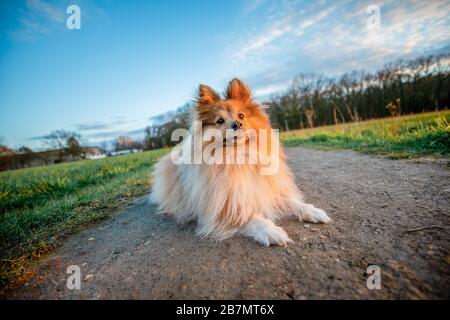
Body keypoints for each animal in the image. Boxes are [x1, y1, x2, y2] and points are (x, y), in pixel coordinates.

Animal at [151, 79, 330, 246]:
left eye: (241, 116)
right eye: (220, 121)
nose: (237, 124)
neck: (239, 155)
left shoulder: (263, 191)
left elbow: (291, 202)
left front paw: (311, 210)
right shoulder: (223, 207)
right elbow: (251, 218)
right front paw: (271, 230)